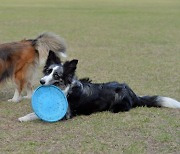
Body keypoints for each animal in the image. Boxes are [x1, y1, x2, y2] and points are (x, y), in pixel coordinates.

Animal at [18, 51, 180, 122]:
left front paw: (24, 118)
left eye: (57, 75)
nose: (41, 81)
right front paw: (23, 116)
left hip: (116, 107)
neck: (65, 89)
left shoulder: (66, 114)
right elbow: (34, 113)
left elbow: (36, 115)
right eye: (48, 71)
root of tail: (133, 93)